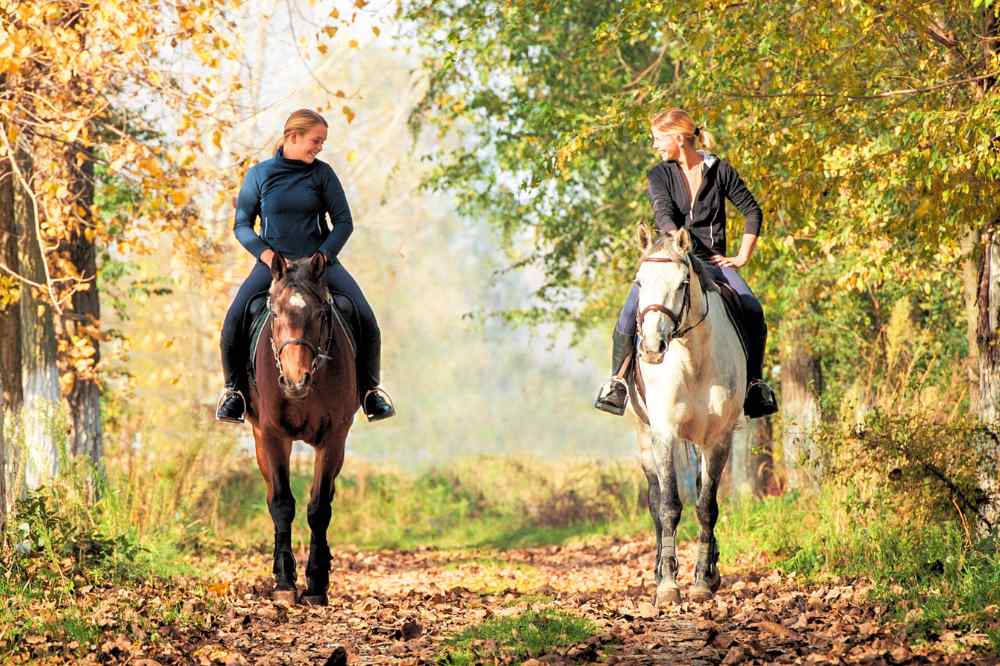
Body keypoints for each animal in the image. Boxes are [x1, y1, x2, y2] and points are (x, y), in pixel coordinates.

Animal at [246, 253, 358, 605]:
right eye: (275, 313)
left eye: (321, 314)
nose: (296, 381)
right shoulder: (272, 435)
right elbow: (282, 504)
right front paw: (284, 582)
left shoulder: (334, 438)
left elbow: (319, 507)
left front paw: (317, 583)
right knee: (272, 497)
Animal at [626, 226, 746, 606]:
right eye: (639, 282)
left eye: (681, 284)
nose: (652, 348)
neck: (692, 360)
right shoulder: (664, 435)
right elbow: (668, 506)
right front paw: (667, 585)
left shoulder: (718, 439)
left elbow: (707, 505)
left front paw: (703, 580)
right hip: (644, 439)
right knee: (655, 501)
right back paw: (658, 570)